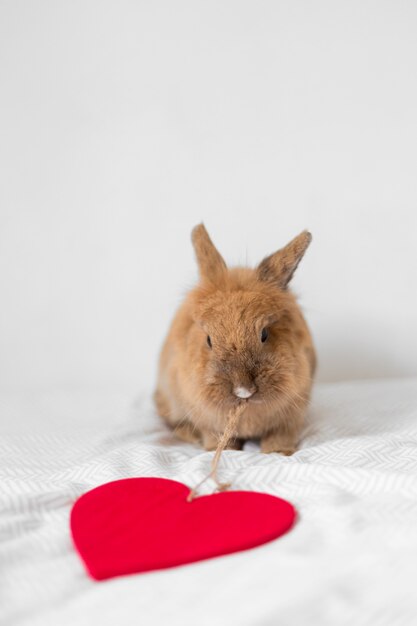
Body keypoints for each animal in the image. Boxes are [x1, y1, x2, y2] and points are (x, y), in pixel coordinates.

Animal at [154, 224, 316, 454]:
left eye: (264, 334)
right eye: (209, 340)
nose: (243, 390)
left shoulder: (291, 418)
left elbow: (280, 436)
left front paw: (278, 452)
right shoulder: (208, 423)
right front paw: (222, 451)